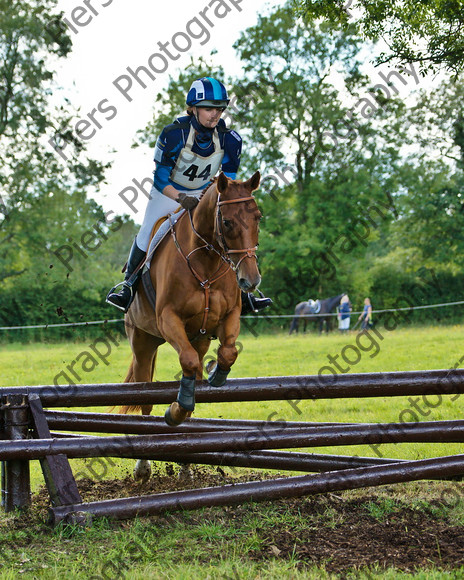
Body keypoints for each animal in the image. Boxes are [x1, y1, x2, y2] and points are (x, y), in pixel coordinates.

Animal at [121, 171, 262, 480]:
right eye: (226, 222)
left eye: (258, 217)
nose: (250, 280)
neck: (206, 259)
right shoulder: (168, 319)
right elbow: (185, 362)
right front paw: (176, 409)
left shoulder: (228, 316)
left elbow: (228, 352)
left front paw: (215, 372)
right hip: (142, 341)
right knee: (145, 398)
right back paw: (143, 466)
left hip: (200, 340)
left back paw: (186, 465)